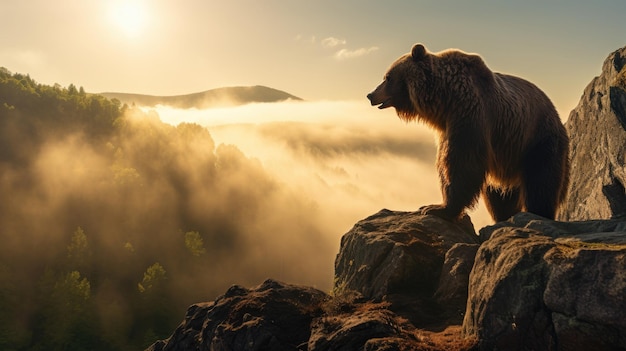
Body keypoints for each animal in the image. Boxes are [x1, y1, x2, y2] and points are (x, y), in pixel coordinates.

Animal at [368, 42, 568, 221]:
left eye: (387, 77)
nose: (370, 95)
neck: (444, 98)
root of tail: (556, 114)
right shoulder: (447, 125)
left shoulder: (470, 112)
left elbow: (463, 160)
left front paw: (437, 208)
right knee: (500, 197)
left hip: (537, 140)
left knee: (541, 182)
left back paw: (539, 212)